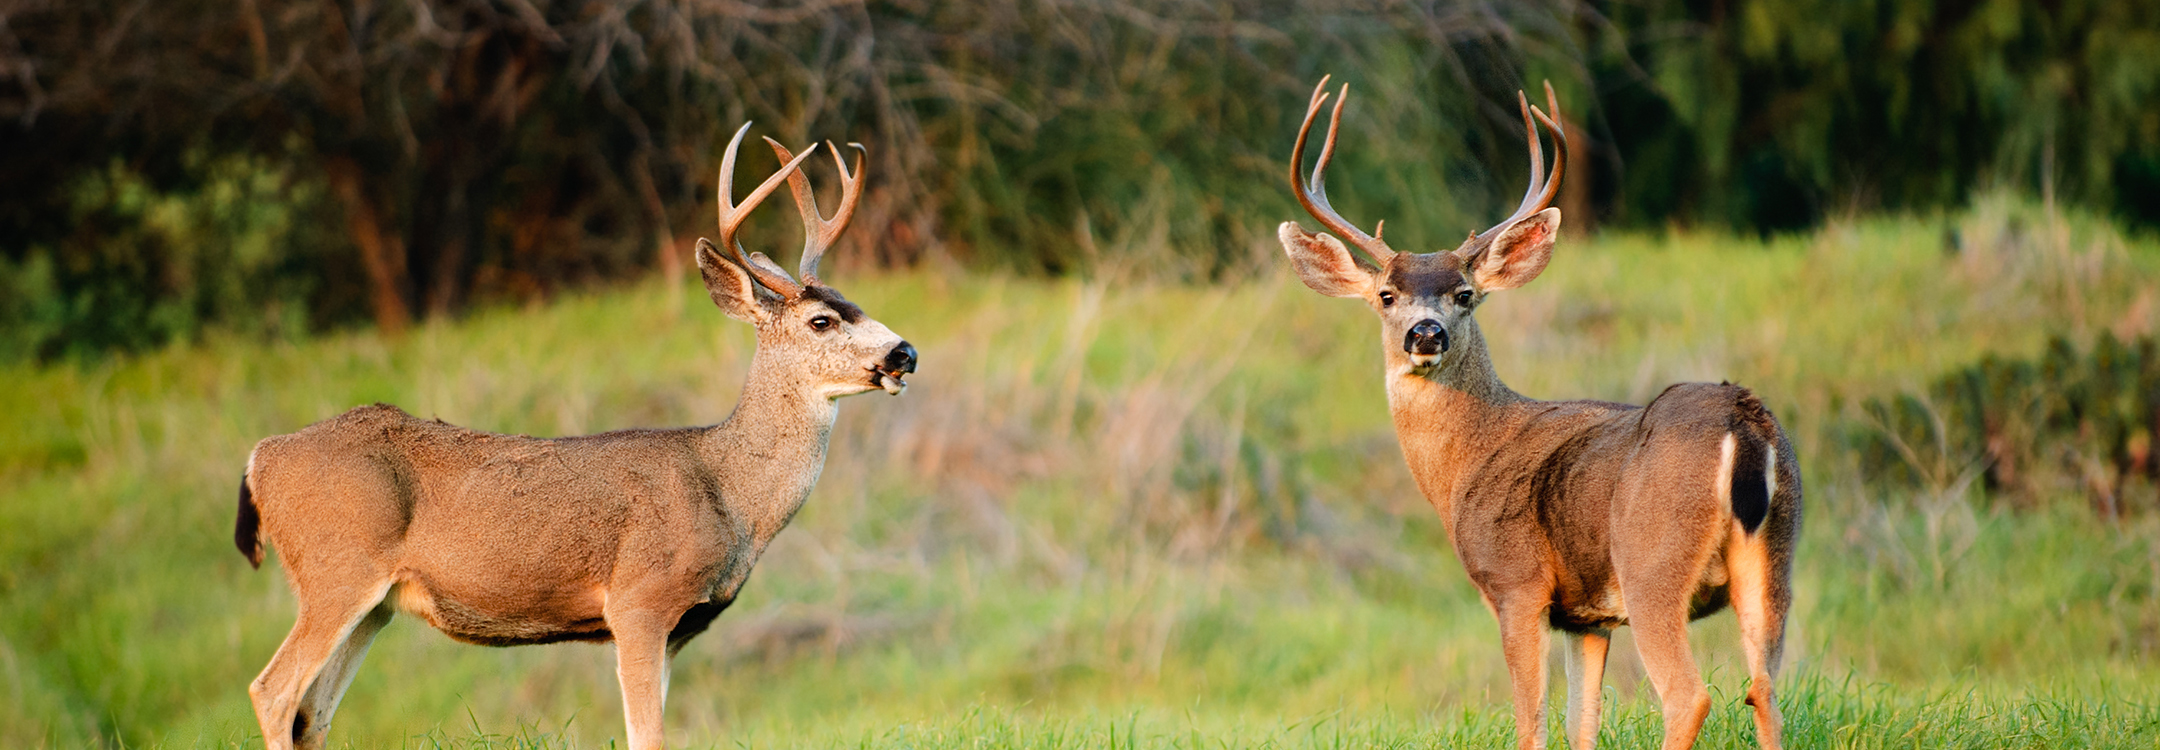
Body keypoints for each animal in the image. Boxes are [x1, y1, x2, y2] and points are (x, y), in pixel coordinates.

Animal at [231, 123, 918, 750]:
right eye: (821, 320)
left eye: (855, 304)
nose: (904, 353)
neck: (726, 490)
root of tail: (260, 457)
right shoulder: (639, 600)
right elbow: (648, 737)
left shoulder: (677, 630)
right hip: (337, 568)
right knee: (272, 691)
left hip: (373, 605)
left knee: (313, 715)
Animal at [1276, 77, 1802, 750]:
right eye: (1386, 296)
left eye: (1464, 294)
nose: (1425, 333)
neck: (1467, 463)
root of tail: (1743, 420)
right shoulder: (1588, 615)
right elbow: (1583, 724)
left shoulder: (1516, 584)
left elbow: (1532, 723)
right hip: (1776, 556)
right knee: (1765, 690)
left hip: (1653, 562)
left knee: (1690, 696)